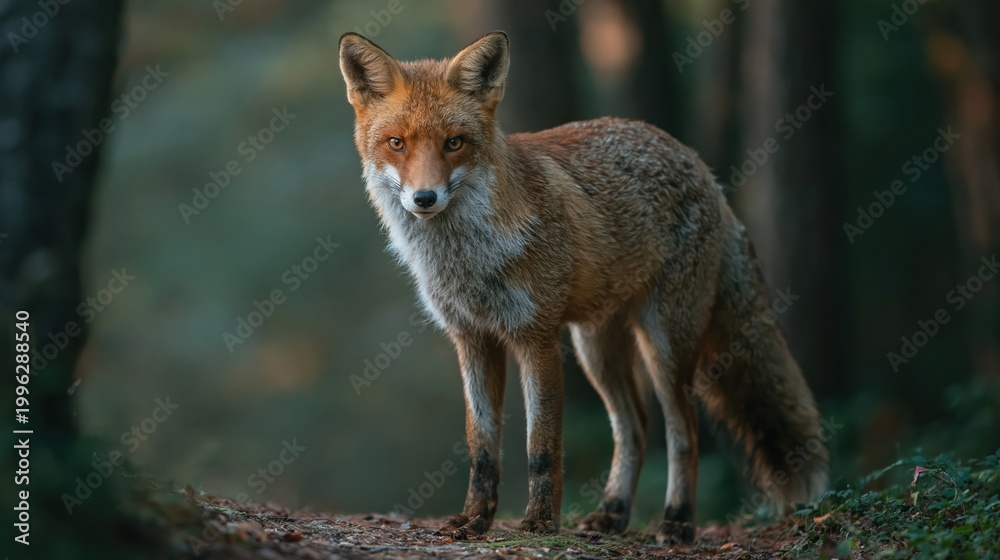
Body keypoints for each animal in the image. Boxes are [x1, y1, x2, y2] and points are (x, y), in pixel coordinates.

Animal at [338, 31, 828, 544]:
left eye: (454, 143)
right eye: (396, 143)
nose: (424, 198)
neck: (468, 260)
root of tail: (703, 169)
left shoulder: (537, 338)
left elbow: (542, 447)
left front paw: (539, 523)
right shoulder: (472, 339)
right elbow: (482, 446)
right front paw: (474, 519)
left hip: (665, 346)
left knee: (684, 433)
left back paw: (677, 521)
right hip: (598, 351)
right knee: (635, 428)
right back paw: (612, 514)